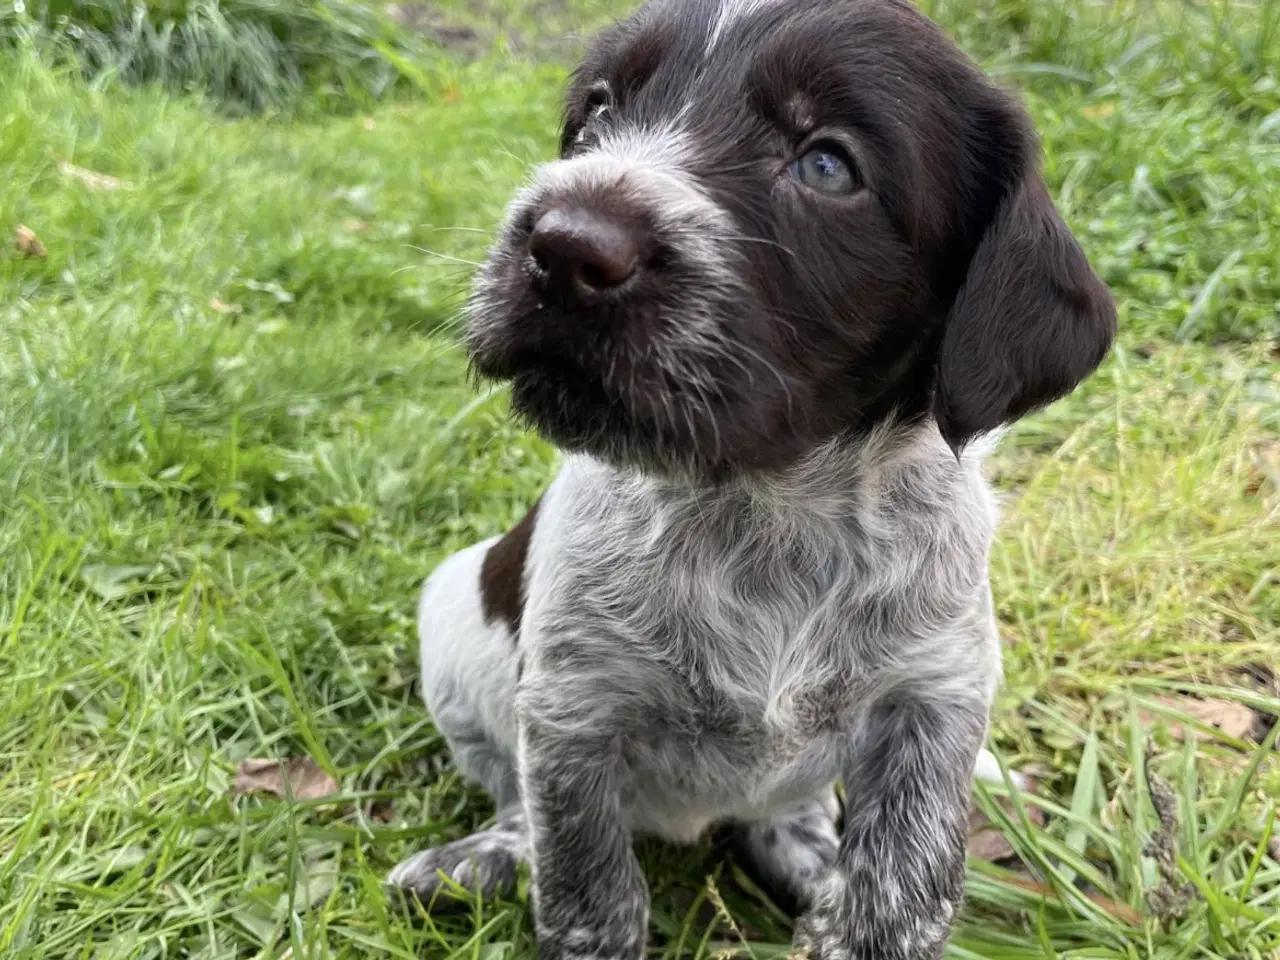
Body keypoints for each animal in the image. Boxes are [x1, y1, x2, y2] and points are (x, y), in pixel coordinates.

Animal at [384, 1, 1116, 960]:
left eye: (827, 165)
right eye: (598, 109)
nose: (562, 249)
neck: (768, 505)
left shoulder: (933, 706)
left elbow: (897, 897)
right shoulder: (574, 712)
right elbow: (586, 890)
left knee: (788, 810)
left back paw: (808, 856)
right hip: (452, 618)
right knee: (514, 796)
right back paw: (488, 856)